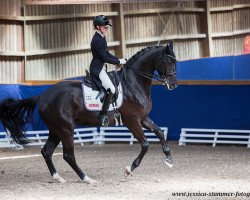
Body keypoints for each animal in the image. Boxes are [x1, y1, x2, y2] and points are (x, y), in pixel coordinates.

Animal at [0, 41, 177, 184]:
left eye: (175, 61)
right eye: (168, 61)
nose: (174, 84)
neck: (132, 84)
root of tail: (41, 96)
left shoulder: (143, 119)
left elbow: (160, 132)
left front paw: (169, 160)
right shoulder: (132, 121)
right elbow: (145, 145)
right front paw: (128, 169)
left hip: (56, 130)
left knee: (47, 151)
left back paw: (58, 178)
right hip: (65, 129)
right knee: (68, 155)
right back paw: (87, 179)